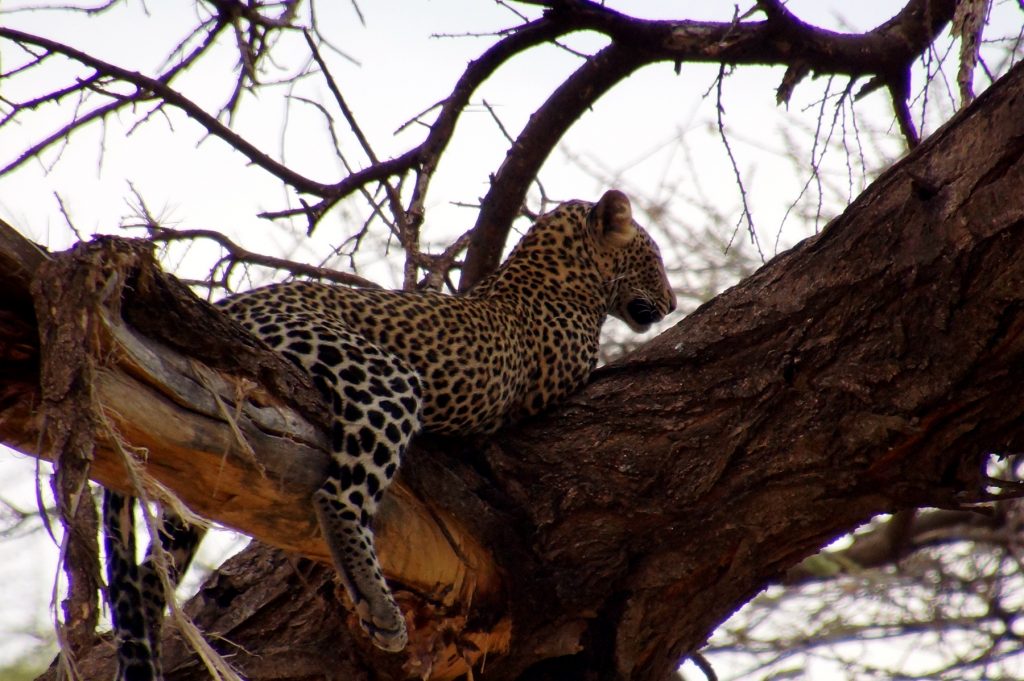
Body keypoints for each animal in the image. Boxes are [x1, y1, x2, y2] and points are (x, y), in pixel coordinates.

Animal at [101, 188, 671, 675]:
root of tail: (228, 305)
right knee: (337, 495)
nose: (670, 301)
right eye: (657, 258)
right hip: (383, 376)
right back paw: (380, 609)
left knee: (153, 568)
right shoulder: (563, 378)